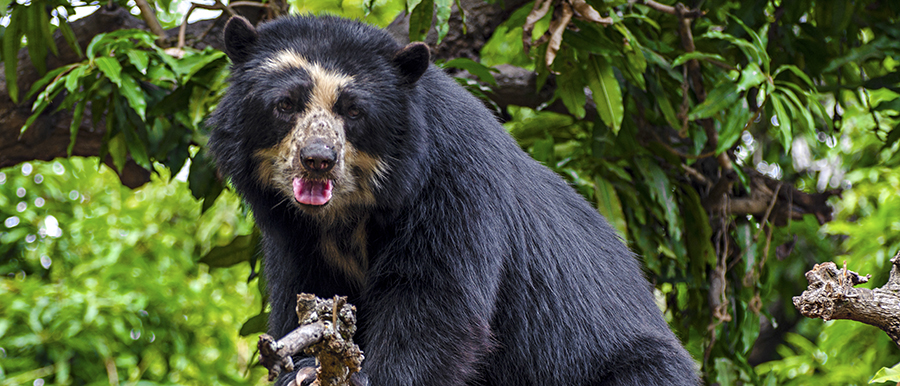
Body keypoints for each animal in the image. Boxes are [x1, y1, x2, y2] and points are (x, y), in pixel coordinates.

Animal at [209, 14, 696, 386]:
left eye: (353, 111)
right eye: (285, 104)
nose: (317, 160)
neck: (351, 214)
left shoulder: (452, 187)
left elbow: (435, 305)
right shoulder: (294, 237)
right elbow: (307, 298)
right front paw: (305, 369)